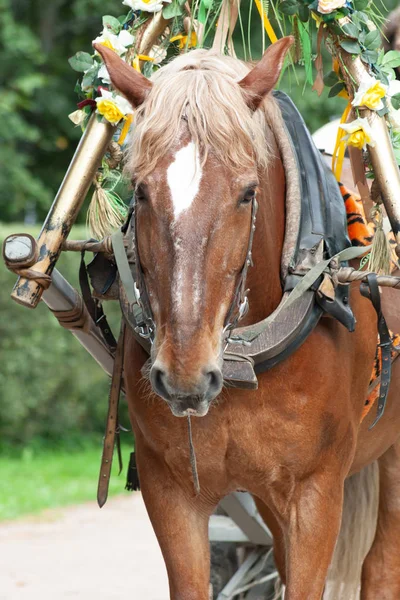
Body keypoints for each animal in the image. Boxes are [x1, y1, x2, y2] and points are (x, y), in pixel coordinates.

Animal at [95, 38, 400, 600]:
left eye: (247, 192)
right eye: (141, 191)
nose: (186, 374)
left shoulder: (316, 493)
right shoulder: (171, 491)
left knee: (382, 565)